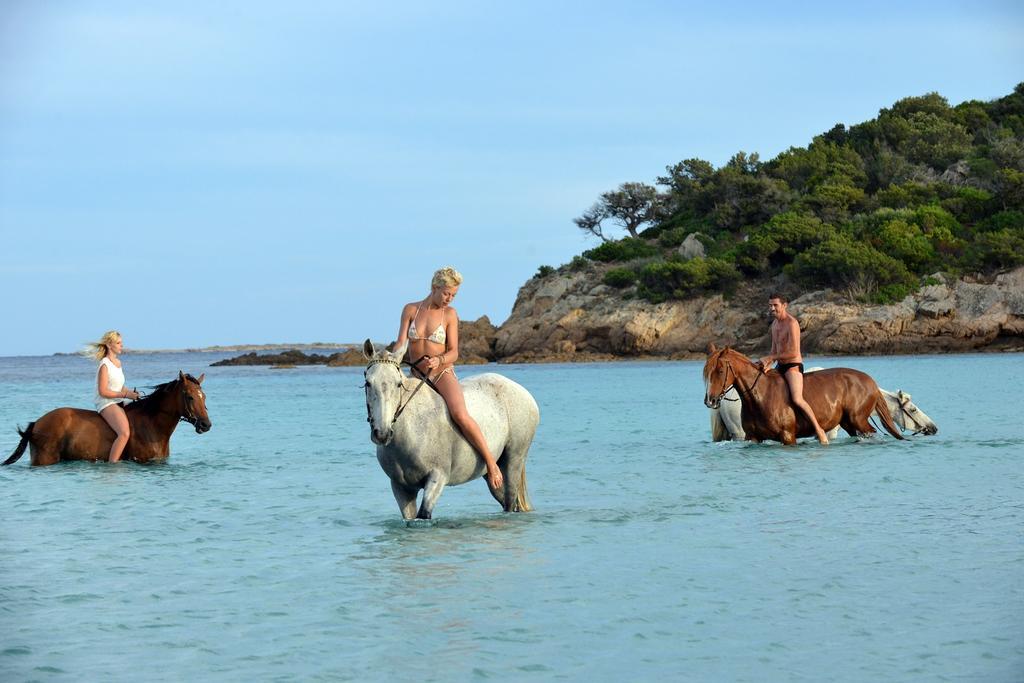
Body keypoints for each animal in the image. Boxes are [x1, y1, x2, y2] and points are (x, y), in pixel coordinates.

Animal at [3, 370, 211, 466]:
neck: (151, 425)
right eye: (190, 397)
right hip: (45, 459)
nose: (206, 424)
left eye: (204, 397)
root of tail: (37, 423)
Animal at [362, 339, 540, 520]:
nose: (382, 434)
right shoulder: (400, 487)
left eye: (398, 384)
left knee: (510, 500)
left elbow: (424, 514)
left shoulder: (437, 477)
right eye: (368, 383)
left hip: (514, 460)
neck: (411, 429)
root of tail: (524, 392)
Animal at [704, 344, 905, 446]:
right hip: (848, 423)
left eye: (720, 371)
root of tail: (871, 382)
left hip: (859, 420)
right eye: (706, 372)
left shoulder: (787, 436)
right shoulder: (752, 437)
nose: (710, 400)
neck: (759, 396)